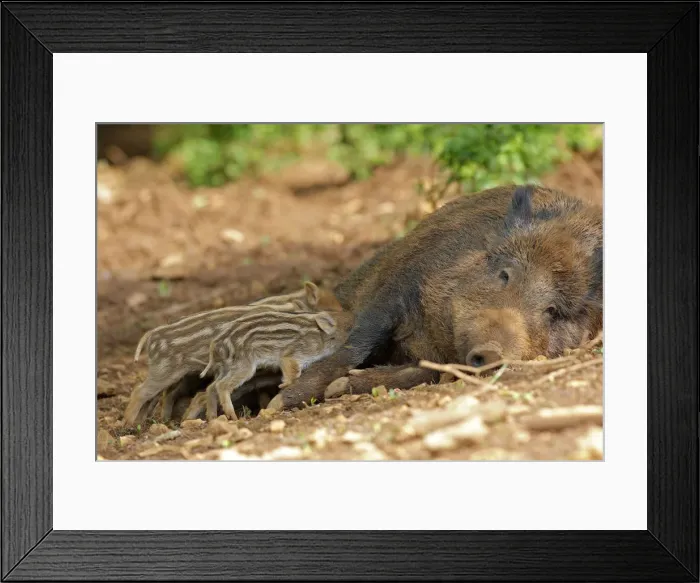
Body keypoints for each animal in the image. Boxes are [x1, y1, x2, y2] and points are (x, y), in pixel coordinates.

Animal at [269, 184, 603, 410]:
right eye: (505, 274)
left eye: (553, 310)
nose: (491, 351)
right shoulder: (399, 286)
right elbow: (355, 346)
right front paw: (277, 403)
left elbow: (425, 372)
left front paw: (336, 389)